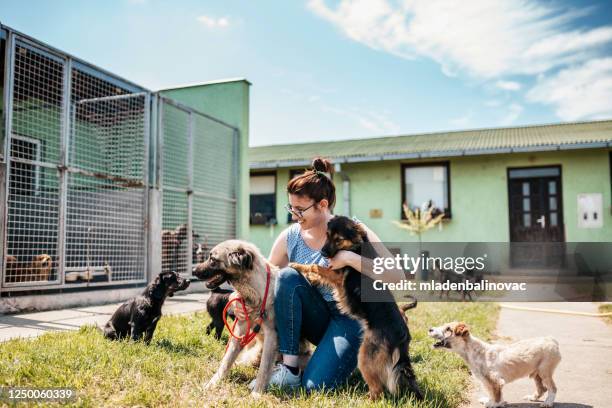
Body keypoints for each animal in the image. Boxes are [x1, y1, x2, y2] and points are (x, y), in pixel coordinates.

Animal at [192, 239, 278, 396]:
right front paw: (212, 383)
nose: (193, 271)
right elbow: (226, 360)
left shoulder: (271, 335)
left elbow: (264, 368)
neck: (255, 293)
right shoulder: (240, 329)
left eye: (212, 259)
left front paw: (257, 393)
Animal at [290, 215, 424, 400]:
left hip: (364, 356)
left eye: (338, 239)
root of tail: (402, 337)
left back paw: (367, 399)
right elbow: (318, 269)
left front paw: (297, 266)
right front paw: (309, 275)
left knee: (378, 390)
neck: (355, 246)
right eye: (327, 235)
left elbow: (315, 266)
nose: (323, 253)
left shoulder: (338, 275)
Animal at [428, 322, 560, 408]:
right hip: (536, 374)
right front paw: (489, 401)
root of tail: (552, 340)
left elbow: (496, 394)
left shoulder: (495, 380)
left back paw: (548, 403)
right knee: (542, 388)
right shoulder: (486, 381)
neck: (474, 352)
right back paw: (532, 397)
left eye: (448, 329)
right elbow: (491, 392)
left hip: (544, 371)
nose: (430, 329)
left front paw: (494, 404)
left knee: (552, 388)